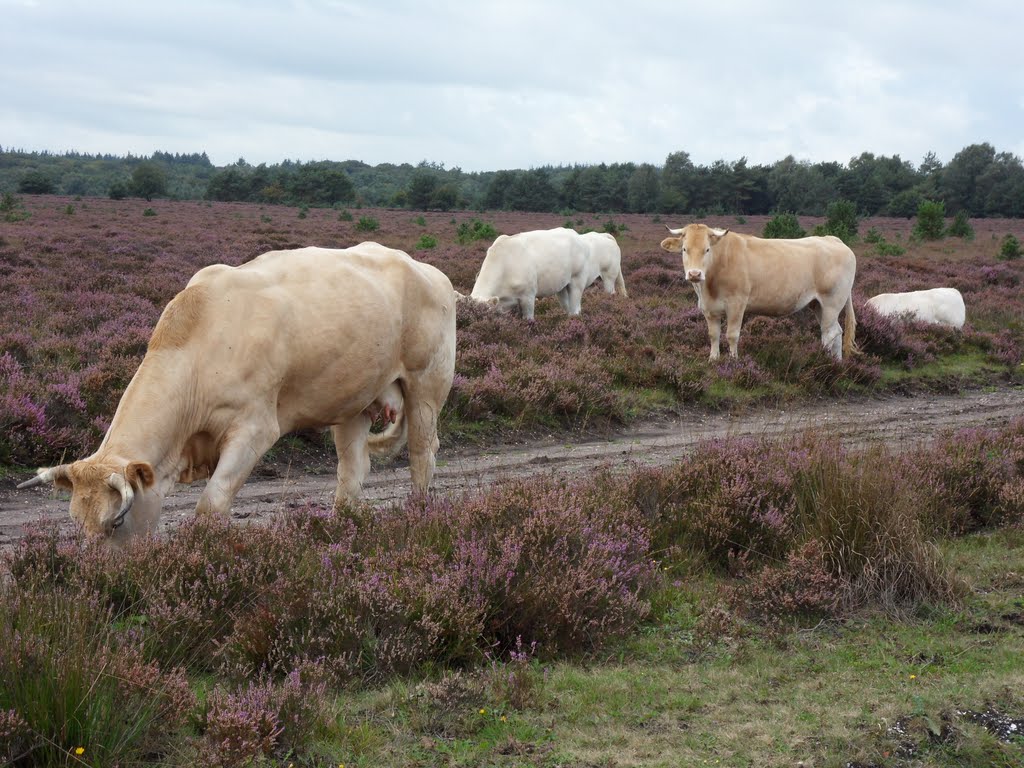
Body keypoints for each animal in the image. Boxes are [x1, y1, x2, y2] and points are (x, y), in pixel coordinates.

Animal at [14, 244, 456, 540]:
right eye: (76, 522)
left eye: (117, 520)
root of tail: (427, 271)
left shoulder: (255, 429)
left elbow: (212, 503)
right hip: (353, 402)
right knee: (353, 469)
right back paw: (339, 526)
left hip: (427, 389)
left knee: (422, 455)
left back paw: (419, 514)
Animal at [468, 231, 626, 321]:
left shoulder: (528, 297)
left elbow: (528, 319)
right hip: (562, 287)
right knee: (567, 306)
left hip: (592, 279)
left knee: (578, 307)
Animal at [663, 224, 856, 362]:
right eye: (684, 249)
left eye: (707, 249)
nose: (694, 274)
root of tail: (833, 239)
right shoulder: (709, 309)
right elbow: (713, 335)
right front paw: (713, 360)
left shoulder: (736, 304)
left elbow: (732, 335)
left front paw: (733, 361)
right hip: (818, 305)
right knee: (836, 332)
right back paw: (836, 363)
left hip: (832, 302)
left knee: (830, 333)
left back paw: (821, 359)